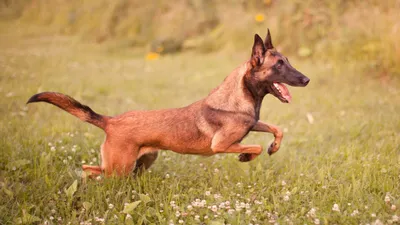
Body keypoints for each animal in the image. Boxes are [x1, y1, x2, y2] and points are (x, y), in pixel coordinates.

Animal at [27, 29, 310, 178]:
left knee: (92, 168)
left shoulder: (252, 124)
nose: (307, 79)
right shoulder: (221, 145)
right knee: (95, 171)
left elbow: (276, 129)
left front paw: (273, 146)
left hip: (140, 161)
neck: (240, 95)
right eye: (279, 65)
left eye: (287, 61)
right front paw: (246, 156)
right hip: (120, 167)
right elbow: (255, 146)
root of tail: (111, 121)